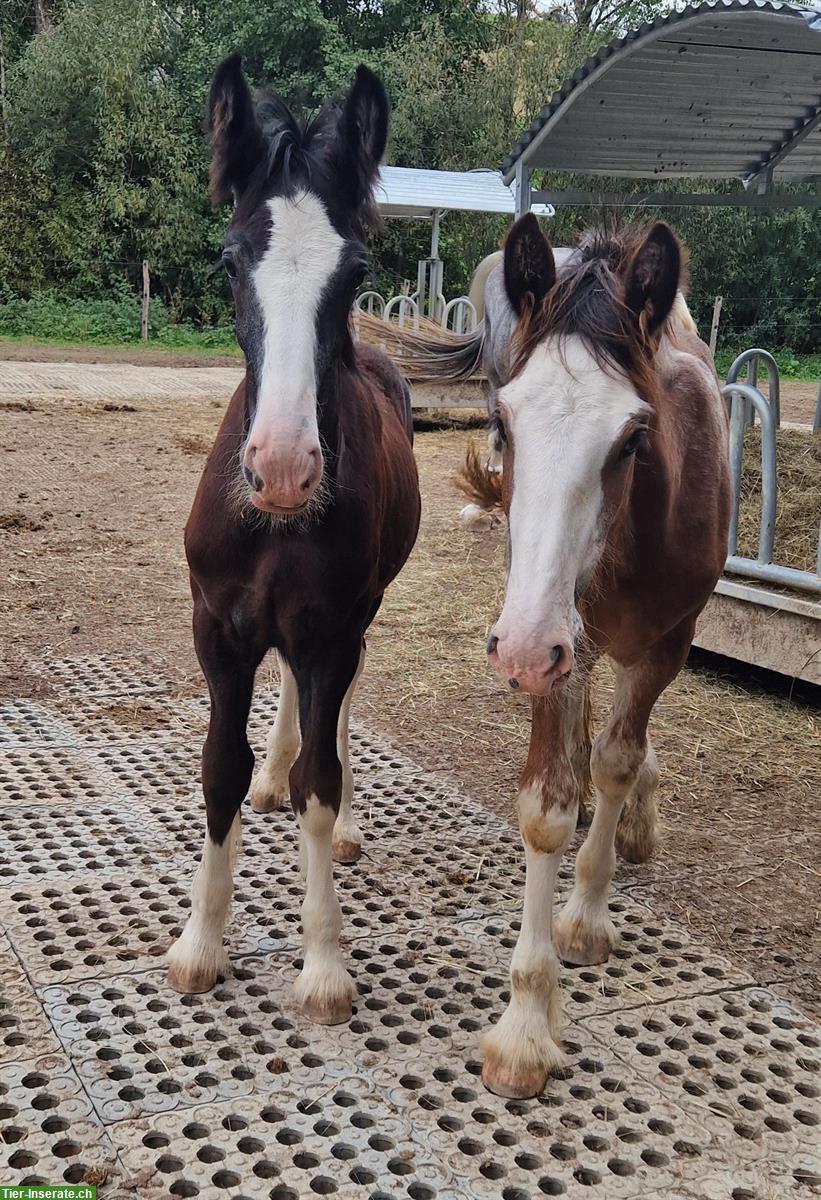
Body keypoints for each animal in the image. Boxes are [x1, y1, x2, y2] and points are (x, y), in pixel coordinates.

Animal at [465, 216, 729, 1099]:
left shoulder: (661, 644)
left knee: (624, 746)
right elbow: (545, 806)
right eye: (503, 424)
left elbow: (620, 758)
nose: (515, 647)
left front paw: (582, 919)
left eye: (633, 436)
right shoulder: (557, 641)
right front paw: (524, 1026)